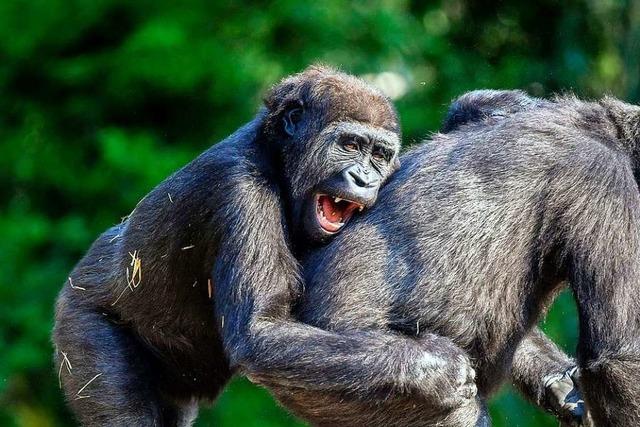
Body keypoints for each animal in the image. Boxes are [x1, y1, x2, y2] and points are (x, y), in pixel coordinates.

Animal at [52, 67, 430, 427]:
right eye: (350, 145)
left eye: (379, 154)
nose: (364, 179)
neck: (277, 157)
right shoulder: (242, 189)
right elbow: (259, 332)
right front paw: (431, 368)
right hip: (80, 317)